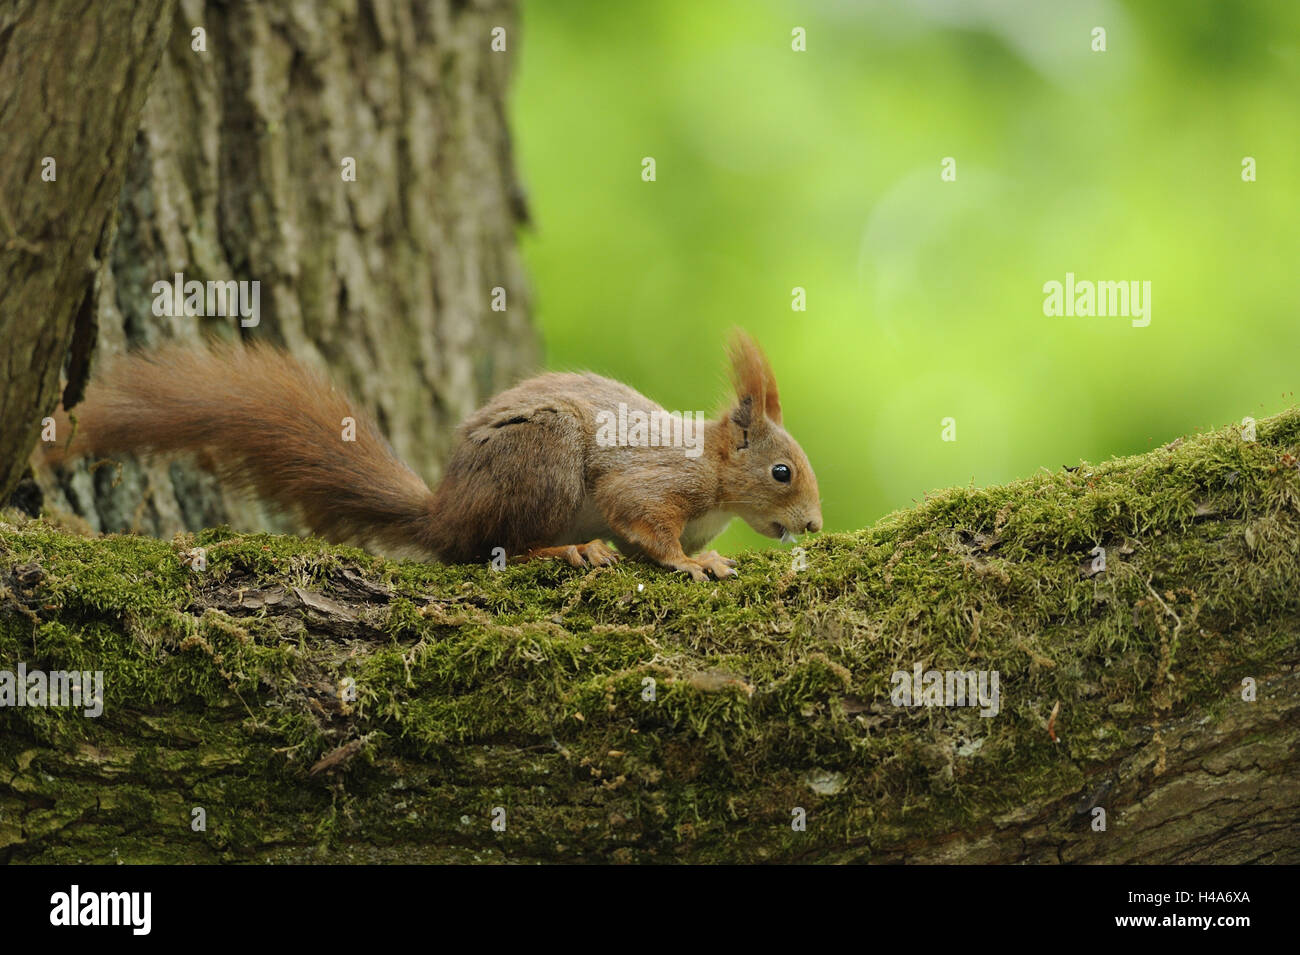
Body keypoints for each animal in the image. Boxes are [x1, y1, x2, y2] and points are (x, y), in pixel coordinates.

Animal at [44, 330, 822, 581]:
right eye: (781, 471)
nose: (814, 526)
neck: (714, 473)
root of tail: (445, 510)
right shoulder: (657, 481)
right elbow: (642, 519)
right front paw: (693, 564)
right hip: (541, 461)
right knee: (490, 547)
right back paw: (565, 550)